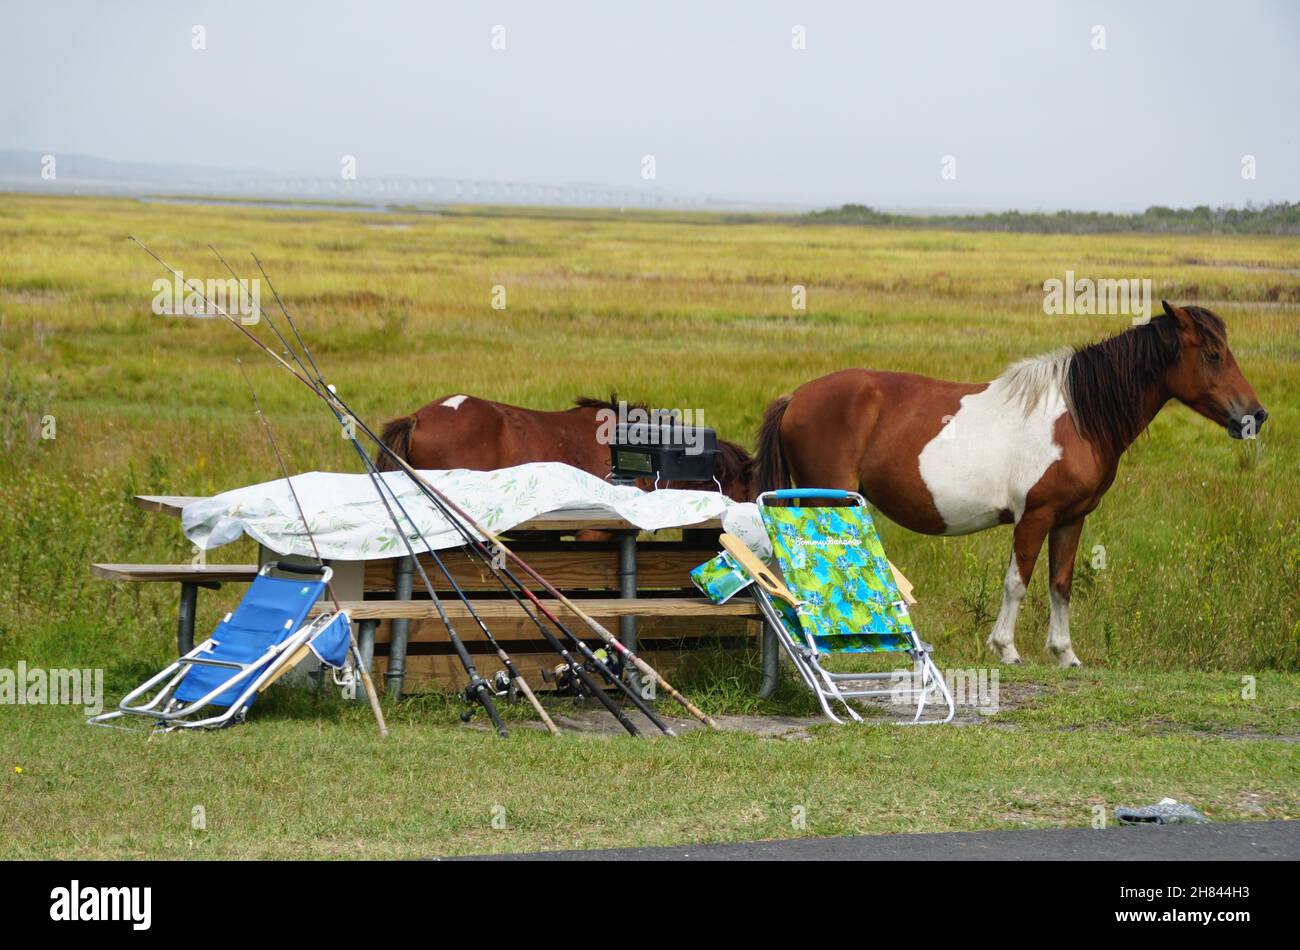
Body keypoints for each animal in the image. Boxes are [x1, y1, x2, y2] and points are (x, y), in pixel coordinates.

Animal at [754, 302, 1267, 667]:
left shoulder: (1071, 519)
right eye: (1214, 355)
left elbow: (1060, 584)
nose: (1255, 415)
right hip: (823, 501)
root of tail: (797, 397)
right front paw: (1006, 649)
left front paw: (1065, 654)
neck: (1078, 417)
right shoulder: (1035, 516)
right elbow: (1018, 582)